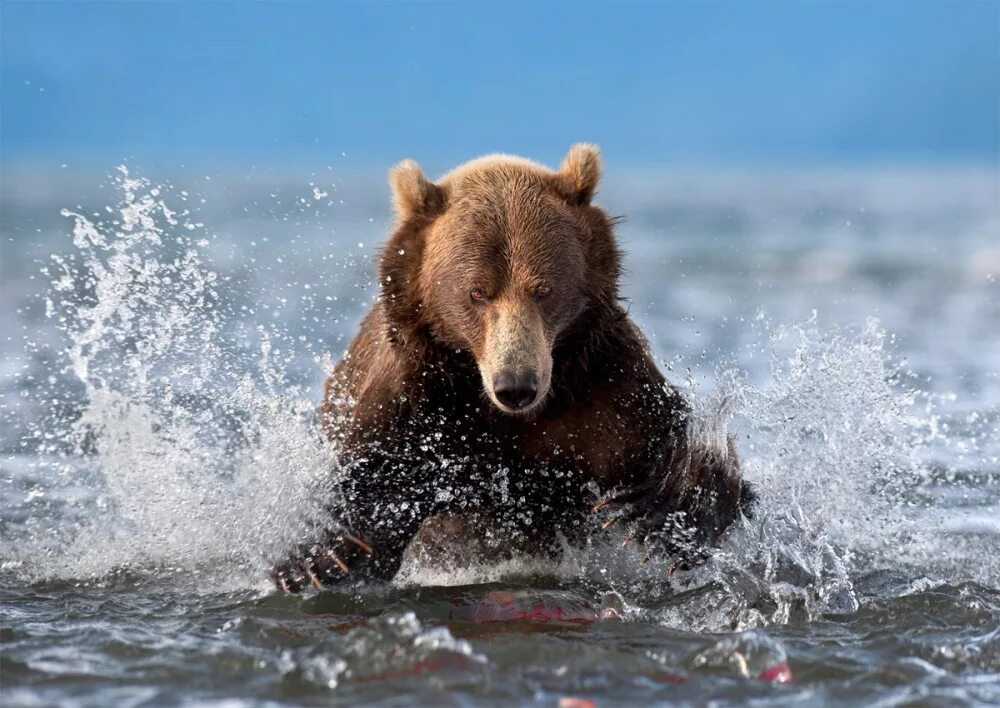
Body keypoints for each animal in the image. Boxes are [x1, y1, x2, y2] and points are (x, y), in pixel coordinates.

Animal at [270, 144, 752, 592]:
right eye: (477, 292)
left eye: (543, 288)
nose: (516, 385)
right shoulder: (412, 405)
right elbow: (372, 494)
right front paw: (319, 556)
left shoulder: (607, 389)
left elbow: (694, 455)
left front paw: (657, 506)